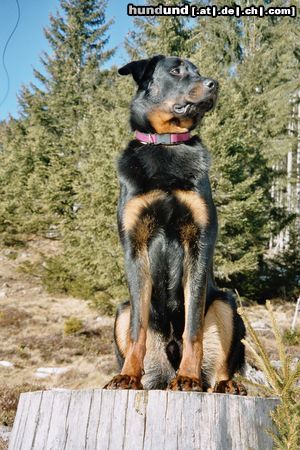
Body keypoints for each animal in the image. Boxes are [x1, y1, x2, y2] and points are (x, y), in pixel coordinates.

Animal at [105, 55, 246, 394]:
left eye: (198, 71)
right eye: (177, 70)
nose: (214, 84)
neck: (167, 145)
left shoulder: (199, 242)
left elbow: (193, 327)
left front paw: (188, 377)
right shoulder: (135, 245)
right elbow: (137, 331)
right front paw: (127, 375)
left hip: (225, 303)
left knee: (221, 366)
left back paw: (224, 384)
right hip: (122, 310)